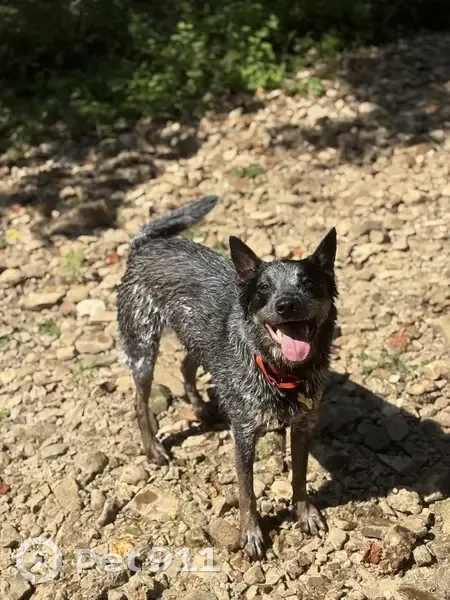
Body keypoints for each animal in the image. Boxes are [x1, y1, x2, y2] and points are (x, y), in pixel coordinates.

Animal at [118, 195, 338, 560]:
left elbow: (300, 475)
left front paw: (304, 512)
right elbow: (248, 493)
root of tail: (145, 243)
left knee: (185, 367)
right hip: (143, 348)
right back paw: (153, 449)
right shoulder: (245, 437)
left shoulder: (304, 425)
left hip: (196, 338)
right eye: (263, 288)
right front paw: (250, 534)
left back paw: (202, 408)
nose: (287, 304)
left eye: (308, 283)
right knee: (139, 401)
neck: (281, 372)